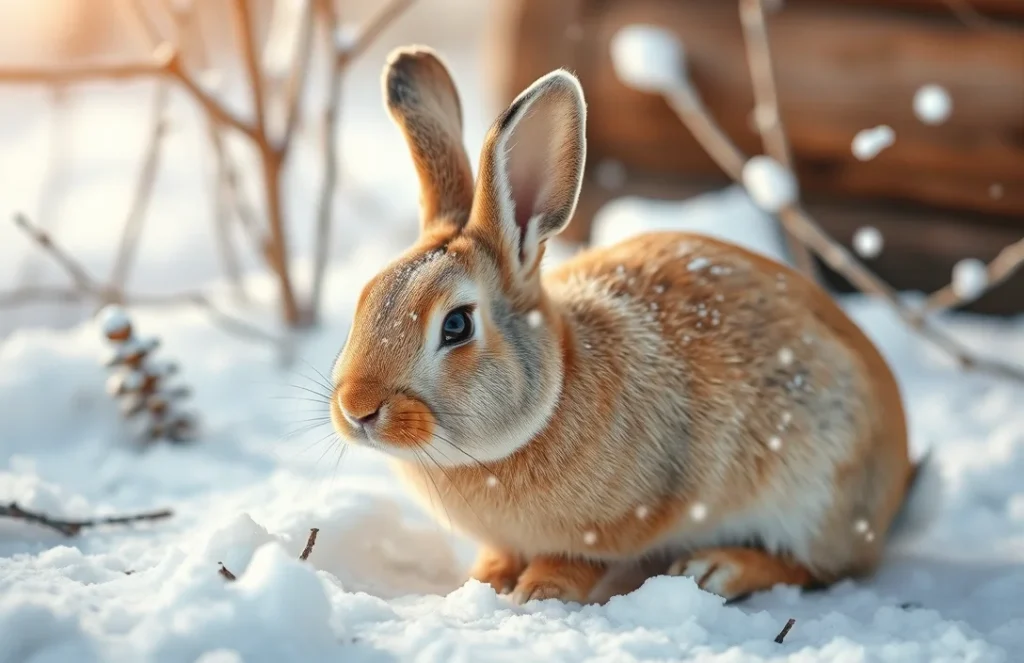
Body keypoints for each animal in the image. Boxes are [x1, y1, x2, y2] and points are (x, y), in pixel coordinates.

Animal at [329, 44, 918, 605]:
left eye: (456, 325)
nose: (357, 408)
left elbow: (578, 561)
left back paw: (717, 569)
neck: (553, 395)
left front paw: (538, 592)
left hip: (815, 495)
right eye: (365, 298)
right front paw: (487, 581)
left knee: (815, 567)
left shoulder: (619, 523)